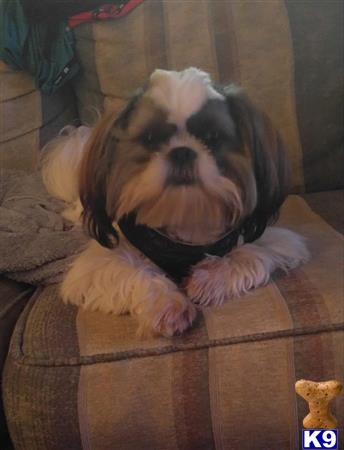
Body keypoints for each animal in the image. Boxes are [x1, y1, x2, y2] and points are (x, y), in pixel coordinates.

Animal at [42, 67, 310, 338]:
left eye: (212, 137)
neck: (184, 222)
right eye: (150, 138)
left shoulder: (276, 241)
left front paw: (208, 278)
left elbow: (249, 253)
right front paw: (167, 303)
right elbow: (131, 271)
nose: (182, 151)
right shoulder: (95, 267)